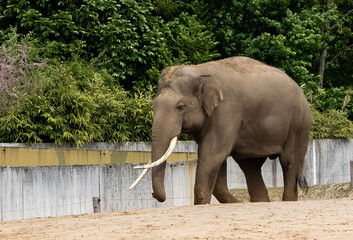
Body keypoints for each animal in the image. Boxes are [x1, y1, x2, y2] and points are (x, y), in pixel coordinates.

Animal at [131, 56, 310, 204]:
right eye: (153, 105)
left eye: (180, 107)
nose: (154, 195)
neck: (199, 71)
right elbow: (216, 160)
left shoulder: (226, 111)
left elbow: (212, 154)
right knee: (250, 167)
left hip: (299, 124)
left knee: (289, 161)